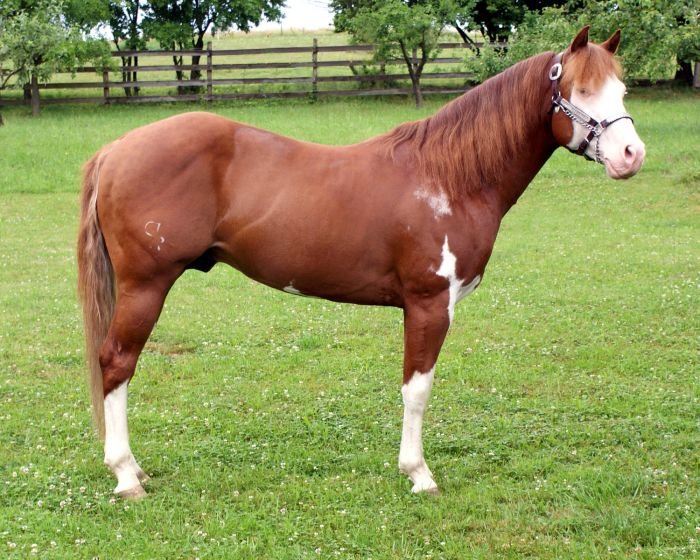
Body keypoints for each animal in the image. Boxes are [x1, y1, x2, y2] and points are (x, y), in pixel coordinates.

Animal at [77, 27, 645, 499]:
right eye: (581, 90)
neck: (450, 177)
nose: (631, 155)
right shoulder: (429, 305)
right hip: (146, 287)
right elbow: (417, 390)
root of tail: (115, 149)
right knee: (117, 363)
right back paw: (126, 475)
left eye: (621, 90)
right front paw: (419, 474)